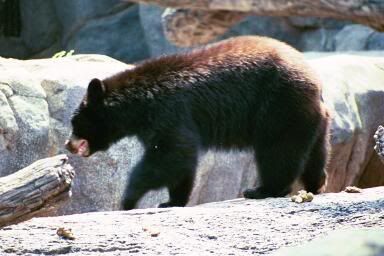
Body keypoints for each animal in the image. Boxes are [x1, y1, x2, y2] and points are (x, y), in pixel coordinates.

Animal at [65, 36, 330, 210]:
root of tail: (315, 81)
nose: (68, 144)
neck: (139, 105)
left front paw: (129, 198)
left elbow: (172, 153)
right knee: (314, 151)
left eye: (75, 122)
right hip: (310, 117)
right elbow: (180, 159)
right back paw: (316, 183)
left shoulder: (168, 111)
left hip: (279, 106)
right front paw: (171, 201)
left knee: (277, 150)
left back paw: (263, 189)